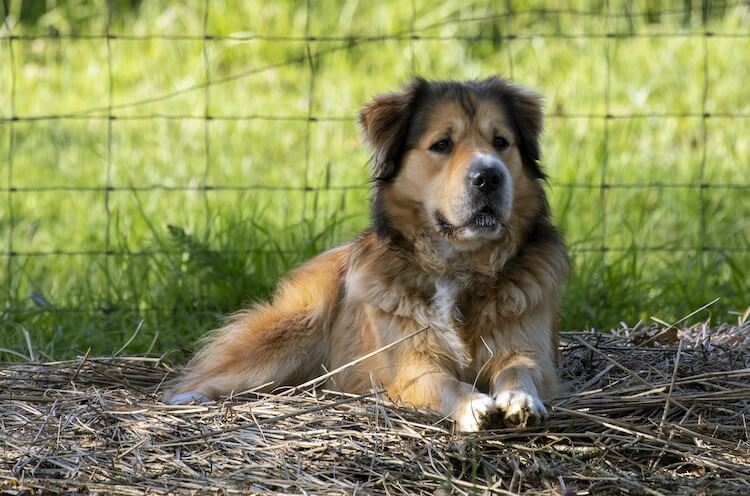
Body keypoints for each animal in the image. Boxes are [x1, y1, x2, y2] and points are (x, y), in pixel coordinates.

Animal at [169, 76, 568, 430]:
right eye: (442, 144)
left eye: (501, 142)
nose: (489, 177)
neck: (460, 266)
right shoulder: (410, 365)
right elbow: (445, 383)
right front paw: (472, 405)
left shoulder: (529, 348)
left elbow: (519, 369)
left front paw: (520, 399)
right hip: (292, 330)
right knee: (215, 373)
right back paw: (186, 399)